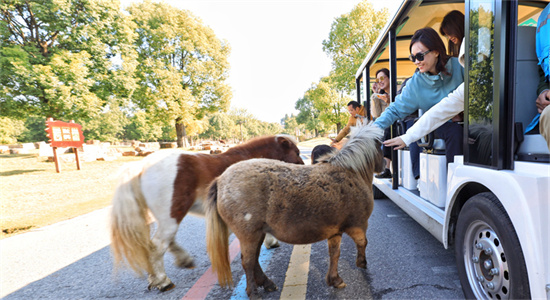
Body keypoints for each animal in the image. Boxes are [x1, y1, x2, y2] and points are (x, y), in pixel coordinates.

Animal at [110, 135, 304, 292]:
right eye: (297, 152)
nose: (304, 168)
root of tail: (140, 166)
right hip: (172, 215)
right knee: (158, 245)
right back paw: (163, 281)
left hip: (167, 218)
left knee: (166, 241)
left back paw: (174, 265)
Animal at [206, 124, 384, 298]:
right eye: (381, 147)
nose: (383, 168)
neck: (351, 172)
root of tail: (220, 180)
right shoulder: (358, 225)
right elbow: (362, 243)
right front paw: (361, 263)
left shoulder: (335, 231)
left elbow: (334, 253)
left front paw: (335, 279)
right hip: (249, 234)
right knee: (248, 262)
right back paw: (254, 292)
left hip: (257, 233)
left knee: (254, 259)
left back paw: (266, 283)